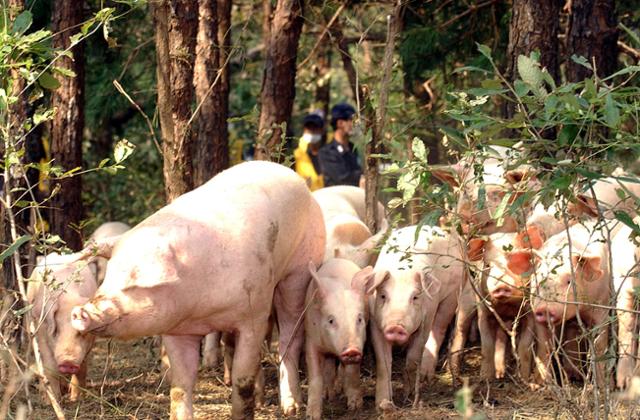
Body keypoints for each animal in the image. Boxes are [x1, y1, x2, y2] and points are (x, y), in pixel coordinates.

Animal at [26, 251, 97, 402]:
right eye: (57, 330)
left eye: (81, 332)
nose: (68, 362)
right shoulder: (41, 329)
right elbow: (49, 365)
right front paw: (51, 401)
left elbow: (82, 367)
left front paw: (76, 399)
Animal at [304, 260, 380, 420]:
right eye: (331, 320)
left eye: (359, 319)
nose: (351, 350)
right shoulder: (311, 340)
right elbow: (315, 377)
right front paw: (312, 415)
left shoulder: (360, 344)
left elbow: (352, 371)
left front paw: (355, 406)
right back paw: (329, 394)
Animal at [364, 225, 464, 408]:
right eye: (383, 296)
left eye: (415, 297)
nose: (395, 326)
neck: (402, 272)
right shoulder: (375, 323)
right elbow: (383, 363)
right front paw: (383, 404)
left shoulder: (424, 321)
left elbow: (413, 357)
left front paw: (407, 396)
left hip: (452, 295)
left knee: (438, 329)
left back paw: (425, 377)